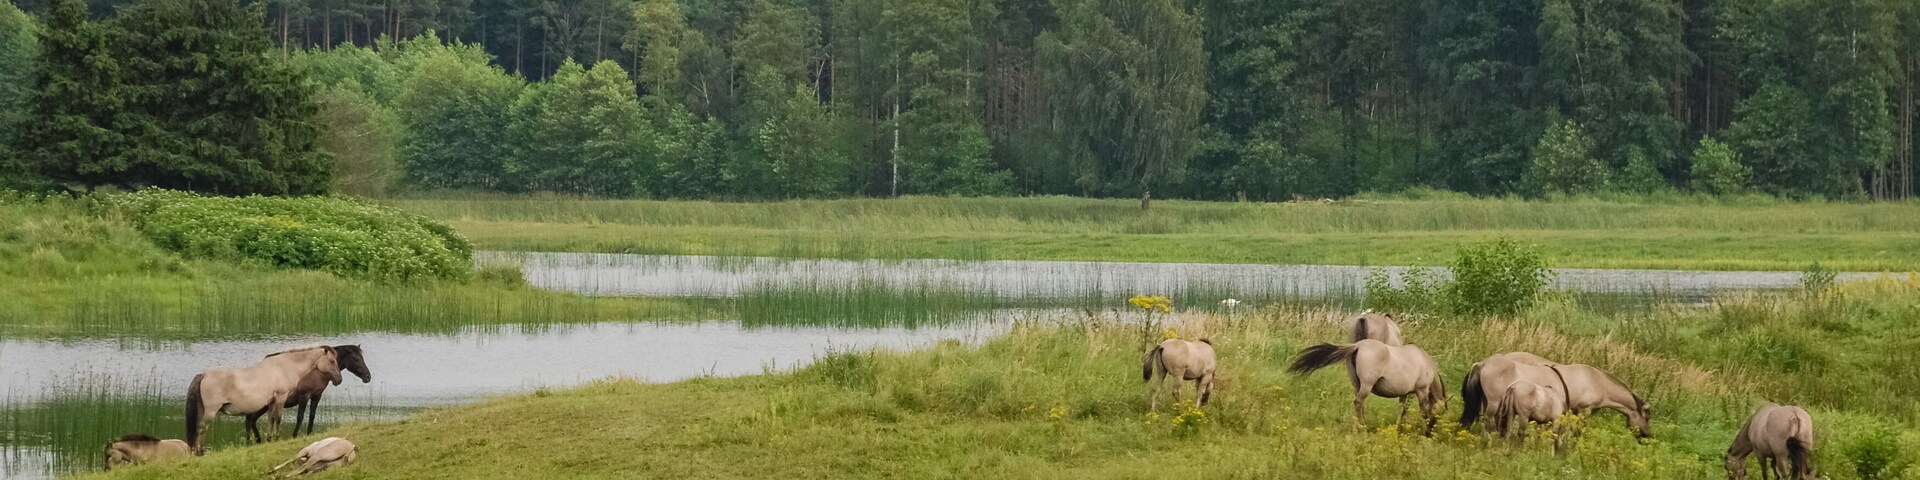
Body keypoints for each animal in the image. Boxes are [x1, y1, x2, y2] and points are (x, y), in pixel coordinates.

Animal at [185, 345, 342, 454]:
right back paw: (200, 451)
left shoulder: (271, 402)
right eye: (332, 361)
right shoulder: (281, 397)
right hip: (211, 411)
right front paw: (277, 438)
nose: (339, 380)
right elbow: (278, 418)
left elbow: (271, 419)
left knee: (199, 427)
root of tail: (204, 375)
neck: (285, 366)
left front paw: (270, 439)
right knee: (202, 428)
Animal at [1288, 339, 1446, 435]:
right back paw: (1364, 428)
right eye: (1440, 414)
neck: (1424, 361)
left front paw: (1398, 427)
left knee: (1360, 405)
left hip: (1357, 385)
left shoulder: (1404, 393)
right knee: (1358, 402)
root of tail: (1357, 346)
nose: (1432, 432)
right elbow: (1423, 411)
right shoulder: (1422, 391)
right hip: (1366, 385)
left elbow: (1402, 410)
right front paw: (1424, 431)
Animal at [1460, 352, 1652, 438]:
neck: (1596, 381)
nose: (1647, 436)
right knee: (1488, 422)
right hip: (1493, 404)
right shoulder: (1584, 410)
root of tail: (1483, 363)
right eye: (1647, 418)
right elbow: (1577, 432)